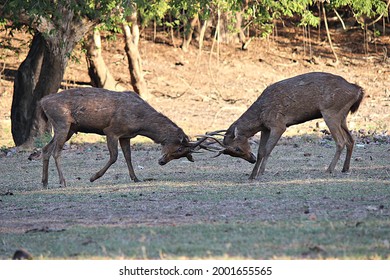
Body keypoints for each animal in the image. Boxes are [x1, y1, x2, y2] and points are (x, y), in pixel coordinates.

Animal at [37, 88, 206, 187]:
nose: (162, 162)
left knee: (45, 149)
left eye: (182, 154)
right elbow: (114, 157)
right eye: (179, 149)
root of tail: (42, 102)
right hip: (62, 123)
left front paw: (136, 178)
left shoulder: (126, 136)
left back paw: (45, 182)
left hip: (70, 128)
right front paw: (93, 177)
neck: (141, 123)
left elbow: (128, 157)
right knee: (56, 151)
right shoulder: (111, 130)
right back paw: (62, 181)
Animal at [206, 72, 364, 179]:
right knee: (351, 140)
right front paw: (254, 174)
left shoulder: (279, 124)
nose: (251, 160)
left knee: (341, 141)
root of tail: (358, 90)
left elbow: (266, 150)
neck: (260, 116)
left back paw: (329, 169)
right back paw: (345, 168)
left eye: (237, 148)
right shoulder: (265, 128)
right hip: (342, 115)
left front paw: (258, 174)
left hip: (331, 112)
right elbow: (261, 150)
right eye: (231, 153)